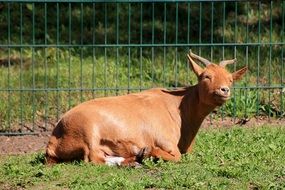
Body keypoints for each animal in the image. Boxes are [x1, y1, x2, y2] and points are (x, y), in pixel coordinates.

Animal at [45, 50, 245, 166]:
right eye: (206, 76)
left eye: (230, 79)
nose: (224, 90)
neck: (179, 107)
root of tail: (53, 140)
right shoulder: (166, 141)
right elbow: (176, 156)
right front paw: (149, 152)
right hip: (87, 130)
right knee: (93, 158)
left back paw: (132, 159)